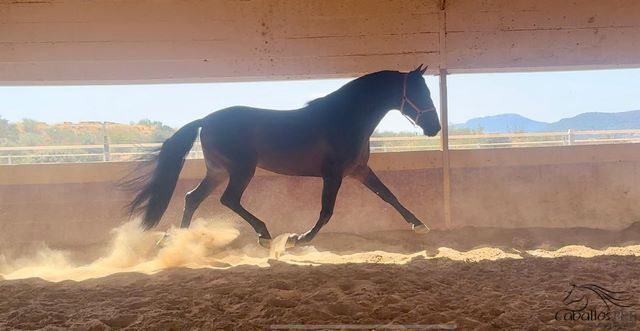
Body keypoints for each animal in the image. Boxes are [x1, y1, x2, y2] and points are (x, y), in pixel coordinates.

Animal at [127, 66, 442, 249]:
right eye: (421, 93)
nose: (435, 128)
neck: (345, 118)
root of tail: (206, 120)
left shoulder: (359, 170)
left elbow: (389, 195)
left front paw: (420, 225)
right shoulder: (333, 174)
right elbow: (326, 212)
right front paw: (297, 239)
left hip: (218, 171)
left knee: (192, 197)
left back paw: (175, 241)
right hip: (241, 170)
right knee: (228, 199)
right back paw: (265, 235)